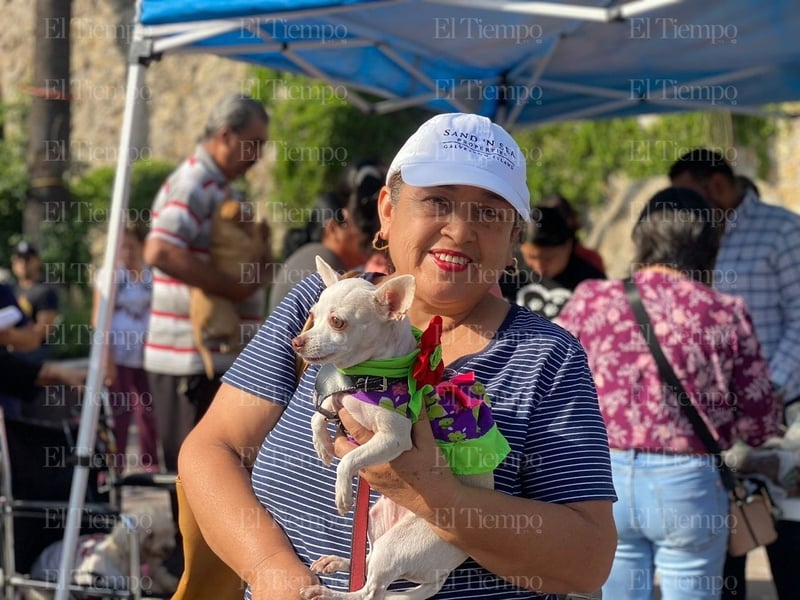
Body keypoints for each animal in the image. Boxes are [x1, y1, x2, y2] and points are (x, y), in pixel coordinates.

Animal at [24, 506, 177, 600]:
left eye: (167, 532)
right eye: (151, 535)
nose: (168, 549)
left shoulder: (152, 566)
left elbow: (161, 575)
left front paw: (172, 584)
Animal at [191, 199, 268, 378]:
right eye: (242, 207)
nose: (251, 207)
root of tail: (198, 320)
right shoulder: (252, 245)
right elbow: (257, 238)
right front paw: (262, 223)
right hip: (234, 322)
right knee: (233, 345)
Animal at [292, 258, 506, 600]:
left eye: (337, 322)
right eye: (313, 315)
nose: (297, 341)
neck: (368, 375)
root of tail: (439, 576)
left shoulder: (393, 439)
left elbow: (349, 461)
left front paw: (343, 494)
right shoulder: (340, 403)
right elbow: (318, 417)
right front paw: (322, 447)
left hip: (395, 547)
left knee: (369, 592)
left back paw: (329, 593)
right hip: (376, 523)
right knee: (365, 563)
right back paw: (337, 563)